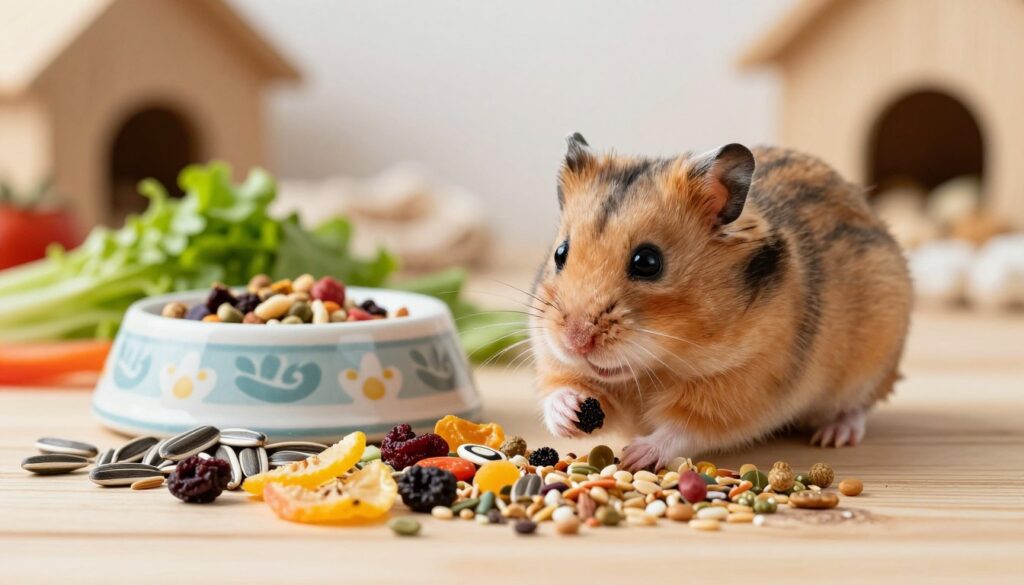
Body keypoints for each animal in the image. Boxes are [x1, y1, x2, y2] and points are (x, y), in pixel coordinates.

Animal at [529, 133, 911, 471]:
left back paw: (834, 435)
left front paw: (636, 454)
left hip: (874, 363)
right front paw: (569, 415)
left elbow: (684, 428)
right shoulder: (554, 358)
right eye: (560, 253)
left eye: (648, 262)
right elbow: (560, 387)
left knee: (859, 406)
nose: (576, 342)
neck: (656, 367)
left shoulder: (739, 387)